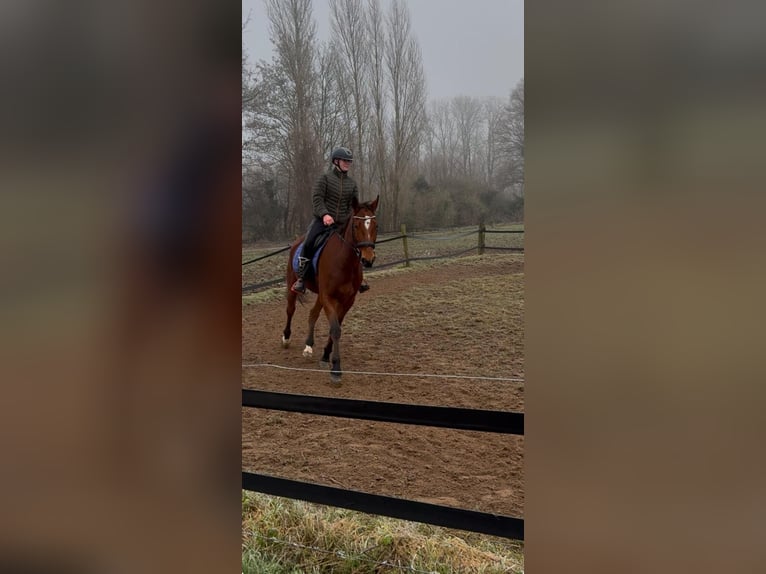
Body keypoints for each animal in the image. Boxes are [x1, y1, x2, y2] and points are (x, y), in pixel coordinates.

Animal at [282, 195, 380, 388]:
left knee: (312, 314)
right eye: (356, 225)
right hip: (293, 285)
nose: (368, 259)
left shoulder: (347, 300)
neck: (344, 262)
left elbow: (336, 327)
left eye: (375, 225)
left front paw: (326, 356)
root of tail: (297, 241)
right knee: (291, 309)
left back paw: (308, 346)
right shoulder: (329, 297)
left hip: (320, 295)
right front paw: (336, 370)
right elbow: (335, 329)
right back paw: (286, 338)